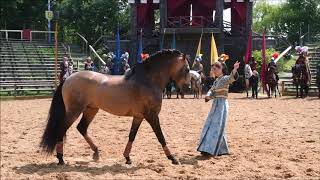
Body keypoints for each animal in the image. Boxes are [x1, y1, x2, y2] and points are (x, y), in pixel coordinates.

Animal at [39, 49, 190, 165]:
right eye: (187, 69)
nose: (187, 87)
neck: (147, 81)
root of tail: (68, 79)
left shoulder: (139, 117)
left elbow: (132, 135)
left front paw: (127, 158)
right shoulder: (152, 116)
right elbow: (160, 136)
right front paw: (173, 158)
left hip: (91, 109)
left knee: (81, 128)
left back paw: (96, 152)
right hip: (74, 111)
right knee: (61, 129)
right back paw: (61, 158)